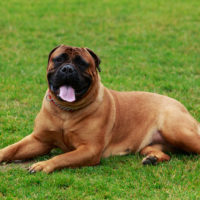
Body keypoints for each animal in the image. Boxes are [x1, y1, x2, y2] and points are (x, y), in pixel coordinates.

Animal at [0, 44, 200, 173]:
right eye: (58, 59)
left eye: (82, 63)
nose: (67, 69)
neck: (65, 111)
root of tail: (179, 104)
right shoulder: (39, 140)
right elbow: (12, 149)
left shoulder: (90, 149)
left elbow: (62, 157)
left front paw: (43, 165)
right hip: (151, 145)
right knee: (163, 154)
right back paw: (153, 159)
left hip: (177, 131)